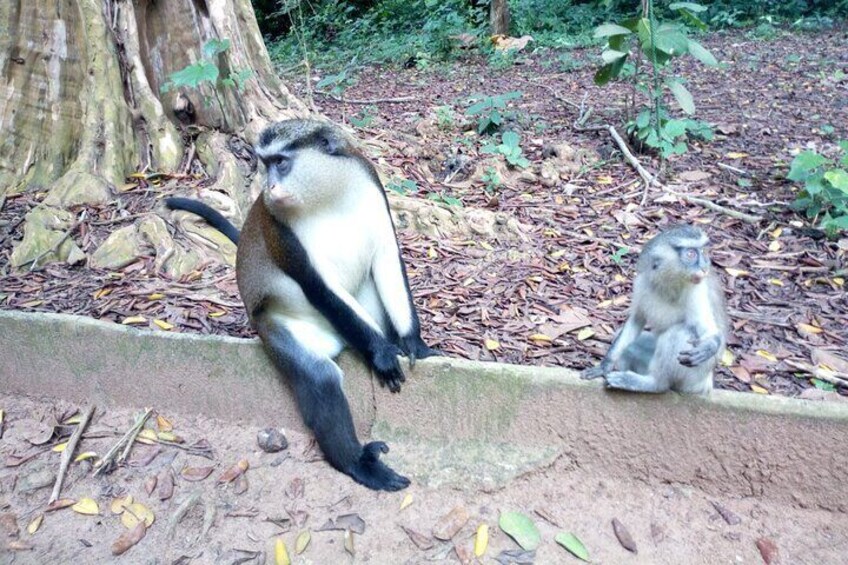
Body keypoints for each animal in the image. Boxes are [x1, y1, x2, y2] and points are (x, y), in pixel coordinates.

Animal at [165, 118, 438, 491]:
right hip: (276, 326)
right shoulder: (283, 233)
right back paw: (358, 463)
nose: (269, 186)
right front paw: (382, 354)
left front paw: (413, 343)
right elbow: (318, 286)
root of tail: (337, 340)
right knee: (321, 378)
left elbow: (386, 260)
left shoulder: (372, 188)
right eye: (265, 165)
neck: (331, 195)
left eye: (280, 162)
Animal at [581, 225, 727, 395]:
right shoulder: (643, 282)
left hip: (693, 377)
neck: (669, 284)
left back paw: (654, 384)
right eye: (691, 254)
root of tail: (706, 384)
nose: (704, 267)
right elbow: (636, 321)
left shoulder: (696, 291)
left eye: (703, 251)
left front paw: (710, 345)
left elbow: (708, 331)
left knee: (679, 333)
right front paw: (605, 365)